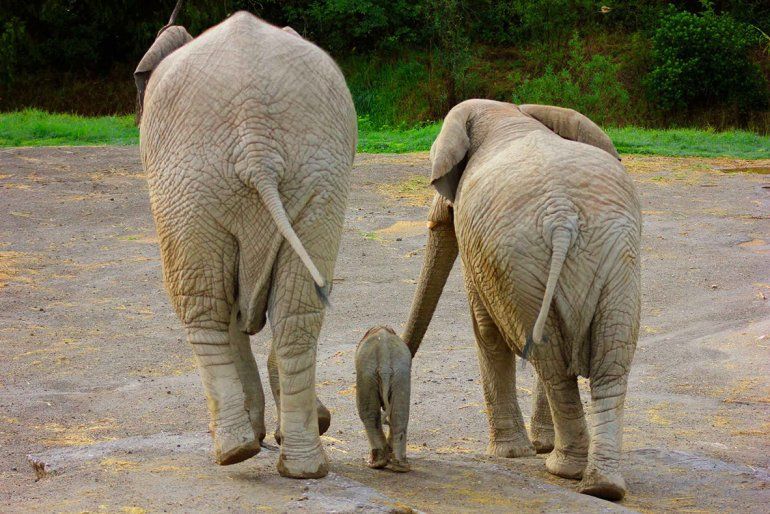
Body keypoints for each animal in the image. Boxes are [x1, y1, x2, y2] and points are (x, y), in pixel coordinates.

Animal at [136, 11, 357, 479]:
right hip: (317, 172)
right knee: (299, 307)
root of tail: (257, 143)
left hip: (188, 184)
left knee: (203, 303)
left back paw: (233, 451)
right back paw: (304, 466)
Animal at [355, 326, 412, 472]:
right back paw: (399, 466)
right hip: (401, 374)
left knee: (369, 414)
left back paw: (375, 463)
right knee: (400, 414)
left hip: (367, 374)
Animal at [402, 99, 640, 500]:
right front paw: (535, 447)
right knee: (607, 359)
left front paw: (511, 454)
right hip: (612, 258)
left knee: (552, 361)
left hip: (520, 262)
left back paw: (566, 470)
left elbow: (485, 329)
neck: (510, 112)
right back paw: (601, 486)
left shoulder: (480, 252)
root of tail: (563, 218)